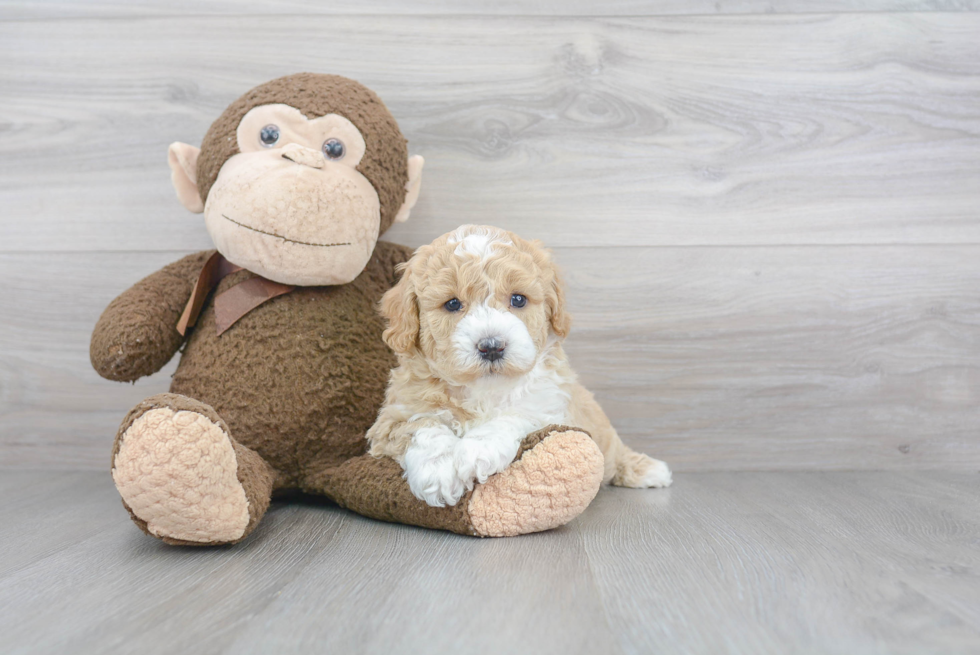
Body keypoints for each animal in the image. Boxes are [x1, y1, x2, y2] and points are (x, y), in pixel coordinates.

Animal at [368, 226, 672, 508]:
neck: (485, 389)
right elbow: (422, 426)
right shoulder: (395, 414)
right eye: (452, 304)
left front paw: (476, 451)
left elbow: (516, 414)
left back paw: (651, 470)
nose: (492, 346)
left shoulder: (551, 406)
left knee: (615, 453)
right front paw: (438, 472)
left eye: (518, 299)